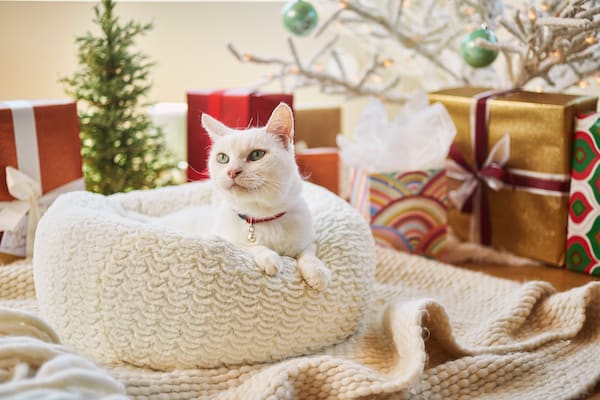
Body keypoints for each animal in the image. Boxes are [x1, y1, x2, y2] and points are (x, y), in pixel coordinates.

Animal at [199, 103, 330, 290]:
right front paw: (269, 257)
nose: (232, 171)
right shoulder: (225, 238)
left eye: (257, 155)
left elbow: (308, 253)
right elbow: (249, 246)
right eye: (223, 158)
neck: (263, 217)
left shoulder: (309, 239)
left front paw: (317, 271)